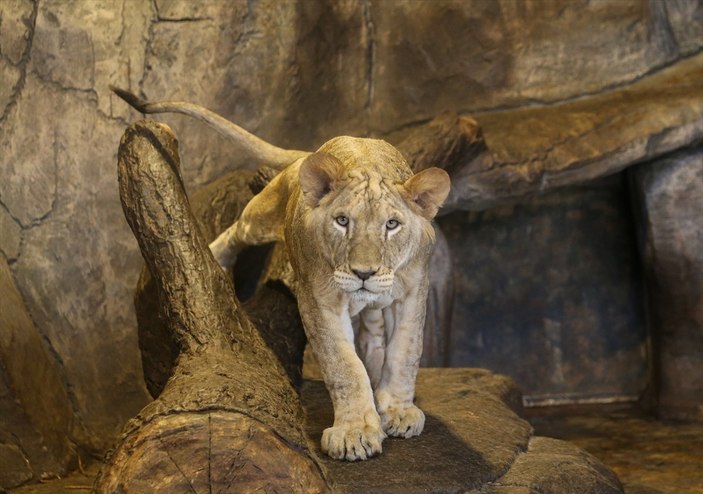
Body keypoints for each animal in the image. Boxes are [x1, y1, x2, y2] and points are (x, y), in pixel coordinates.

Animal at [110, 87, 452, 462]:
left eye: (392, 224)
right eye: (342, 221)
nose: (364, 272)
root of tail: (307, 155)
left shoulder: (413, 293)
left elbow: (405, 353)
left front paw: (398, 411)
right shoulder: (319, 298)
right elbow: (343, 366)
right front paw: (355, 432)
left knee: (375, 331)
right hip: (262, 213)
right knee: (238, 230)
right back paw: (214, 256)